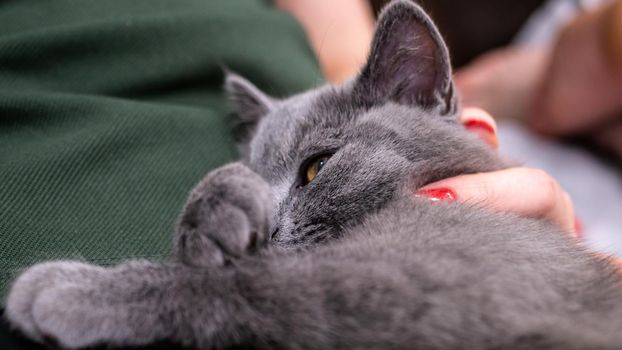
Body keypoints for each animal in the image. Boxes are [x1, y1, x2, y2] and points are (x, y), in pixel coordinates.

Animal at [4, 0, 622, 350]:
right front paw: (218, 208)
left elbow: (262, 290)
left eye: (316, 168)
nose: (270, 228)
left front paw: (64, 291)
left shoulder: (446, 282)